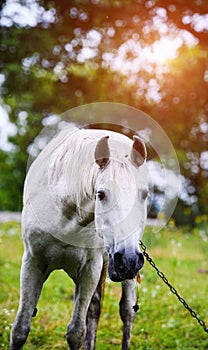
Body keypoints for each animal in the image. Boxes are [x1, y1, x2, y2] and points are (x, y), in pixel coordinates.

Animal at [9, 127, 148, 348]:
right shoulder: (32, 263)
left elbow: (76, 333)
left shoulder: (90, 269)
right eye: (100, 194)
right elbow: (20, 329)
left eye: (144, 194)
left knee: (127, 311)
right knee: (94, 310)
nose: (128, 260)